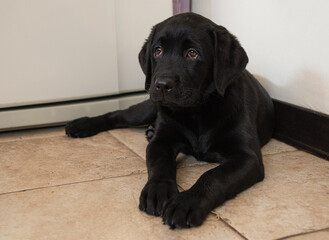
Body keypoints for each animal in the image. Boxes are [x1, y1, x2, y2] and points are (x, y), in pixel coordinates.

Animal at [65, 12, 272, 229]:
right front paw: (158, 190)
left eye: (192, 53)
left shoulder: (247, 157)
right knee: (118, 115)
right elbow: (160, 165)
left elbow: (214, 176)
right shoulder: (162, 142)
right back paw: (82, 124)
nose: (162, 85)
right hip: (148, 107)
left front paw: (187, 201)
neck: (197, 111)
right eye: (158, 51)